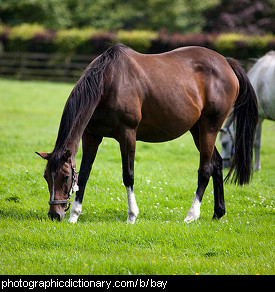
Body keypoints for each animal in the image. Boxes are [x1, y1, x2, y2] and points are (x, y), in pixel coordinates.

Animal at [36, 43, 258, 222]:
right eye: (47, 177)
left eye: (65, 177)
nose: (55, 215)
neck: (109, 83)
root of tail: (226, 63)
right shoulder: (91, 136)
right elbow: (84, 175)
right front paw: (74, 215)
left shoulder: (127, 135)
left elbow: (128, 175)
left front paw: (132, 216)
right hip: (198, 130)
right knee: (217, 164)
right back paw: (218, 213)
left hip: (209, 128)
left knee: (205, 169)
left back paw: (191, 215)